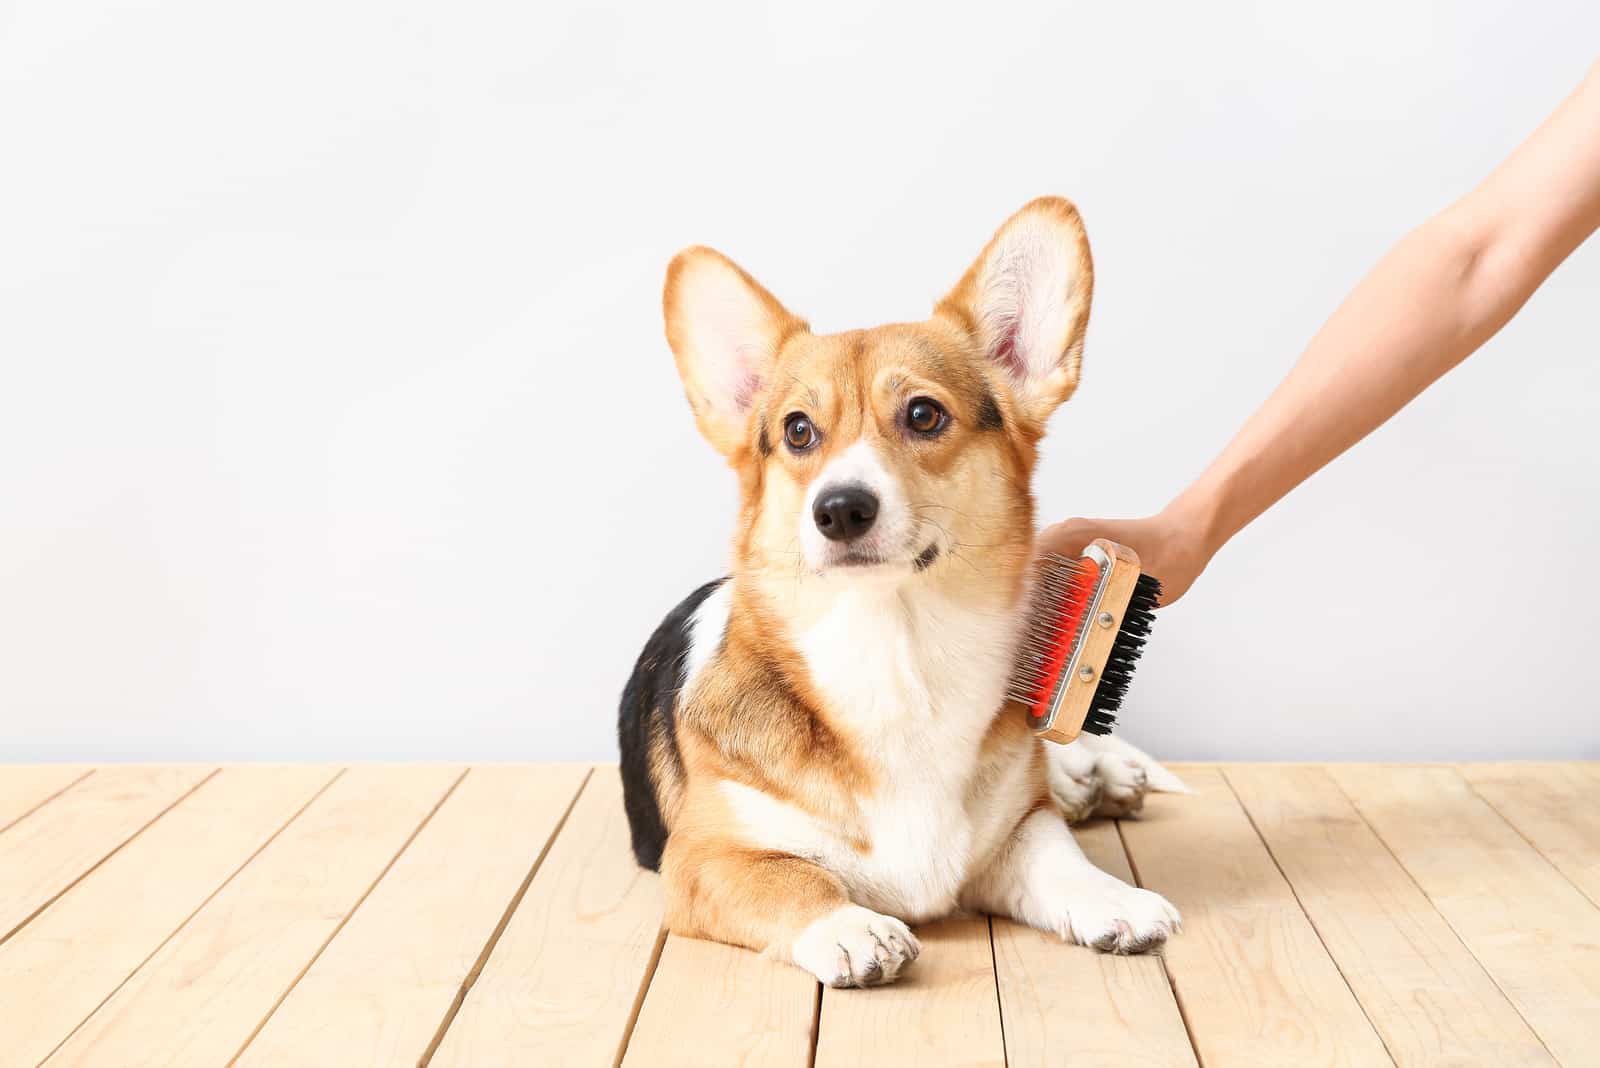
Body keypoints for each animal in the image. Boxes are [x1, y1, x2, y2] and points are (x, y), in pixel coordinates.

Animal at [617, 195, 1184, 991]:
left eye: (923, 414)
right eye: (798, 431)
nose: (839, 509)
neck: (896, 652)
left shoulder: (1018, 833)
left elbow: (1058, 857)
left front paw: (1114, 898)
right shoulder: (702, 862)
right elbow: (795, 878)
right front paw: (850, 927)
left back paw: (1093, 774)